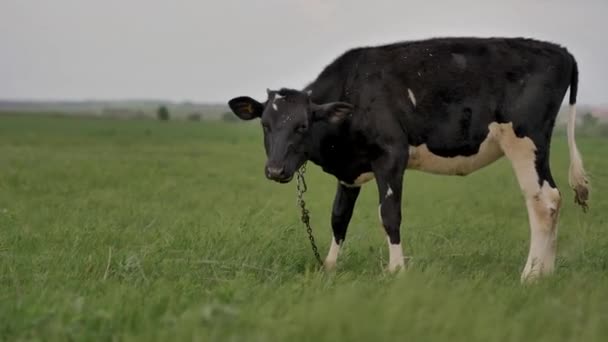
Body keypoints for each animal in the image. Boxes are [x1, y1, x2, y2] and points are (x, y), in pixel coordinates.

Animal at [228, 36, 588, 280]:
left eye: (302, 125)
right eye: (265, 125)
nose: (275, 170)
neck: (353, 90)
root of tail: (560, 50)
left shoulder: (390, 155)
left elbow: (389, 215)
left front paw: (396, 270)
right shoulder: (349, 171)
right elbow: (338, 217)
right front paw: (328, 267)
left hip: (524, 140)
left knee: (542, 201)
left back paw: (530, 274)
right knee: (554, 197)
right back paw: (546, 273)